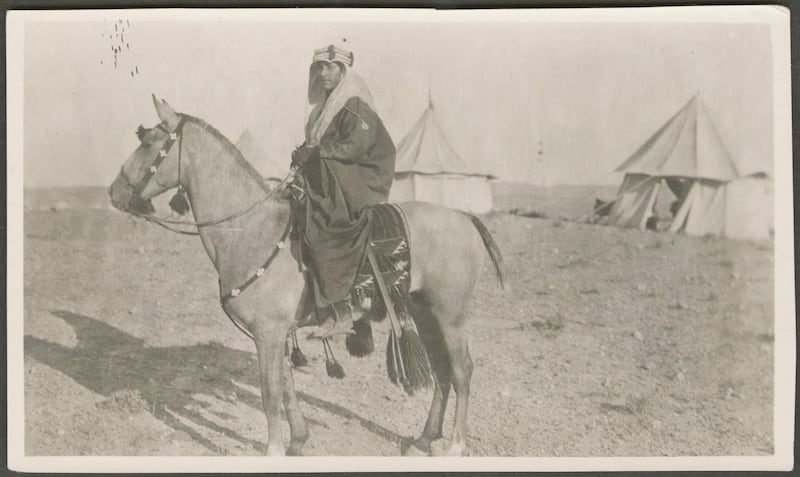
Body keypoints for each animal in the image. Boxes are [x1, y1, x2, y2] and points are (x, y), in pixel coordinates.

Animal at [109, 95, 504, 456]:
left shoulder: (268, 331)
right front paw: (297, 440)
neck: (253, 229)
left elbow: (270, 393)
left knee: (462, 371)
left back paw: (455, 445)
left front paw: (273, 450)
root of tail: (465, 217)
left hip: (450, 316)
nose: (114, 192)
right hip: (424, 310)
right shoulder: (273, 333)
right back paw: (423, 439)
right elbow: (285, 386)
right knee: (442, 371)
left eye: (148, 142)